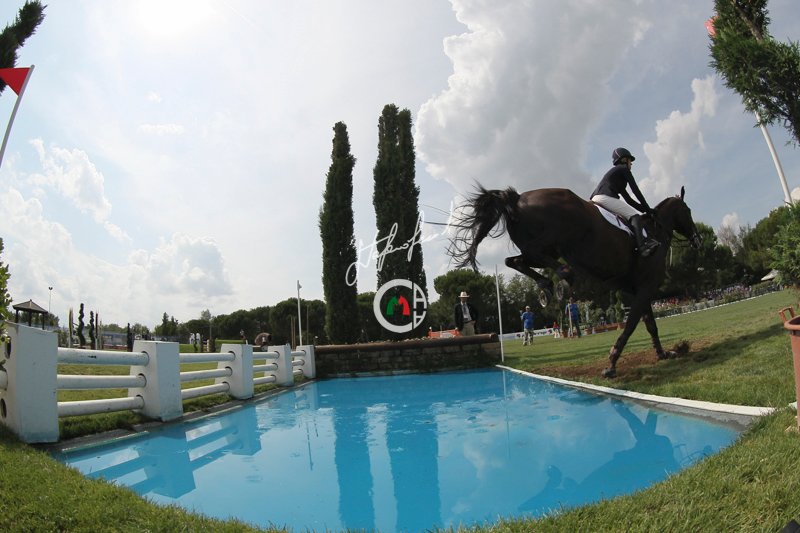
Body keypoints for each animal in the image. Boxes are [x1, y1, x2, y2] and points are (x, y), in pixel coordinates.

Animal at [448, 185, 702, 377]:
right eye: (688, 210)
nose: (698, 239)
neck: (655, 231)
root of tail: (518, 198)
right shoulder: (644, 288)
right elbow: (631, 325)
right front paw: (611, 364)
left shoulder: (637, 289)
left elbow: (650, 325)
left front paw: (663, 354)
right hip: (552, 239)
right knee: (537, 257)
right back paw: (564, 277)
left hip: (539, 247)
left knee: (514, 260)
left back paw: (547, 287)